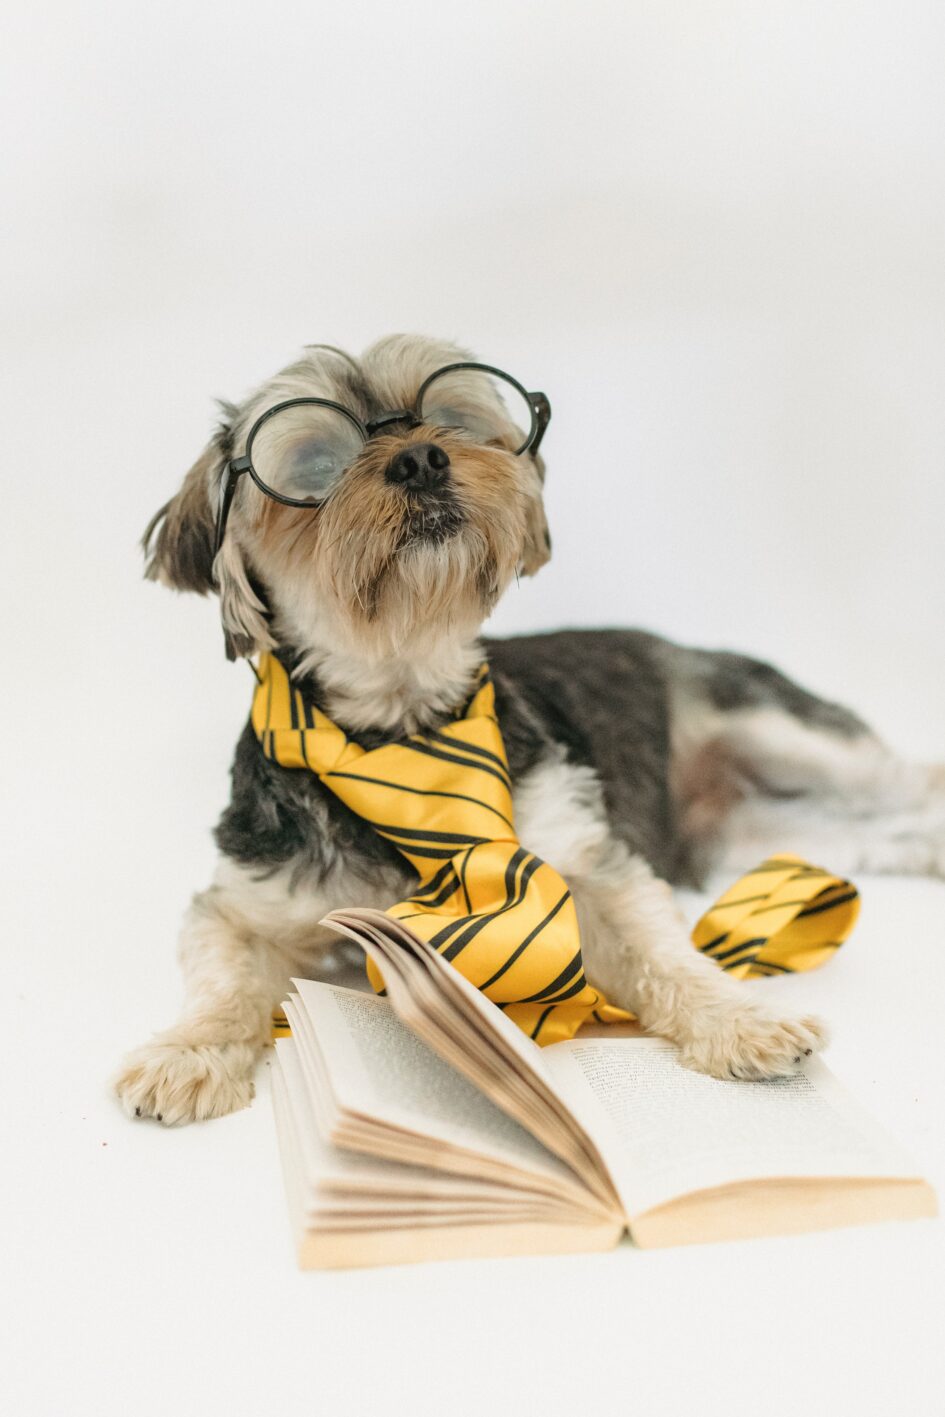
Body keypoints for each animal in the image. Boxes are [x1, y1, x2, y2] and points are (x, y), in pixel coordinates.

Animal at [114, 334, 940, 1127]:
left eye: (450, 417)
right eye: (316, 462)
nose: (421, 457)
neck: (405, 726)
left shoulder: (591, 860)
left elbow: (660, 950)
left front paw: (738, 1019)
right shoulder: (243, 901)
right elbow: (223, 976)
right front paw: (187, 1053)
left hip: (781, 729)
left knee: (907, 776)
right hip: (752, 835)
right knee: (872, 836)